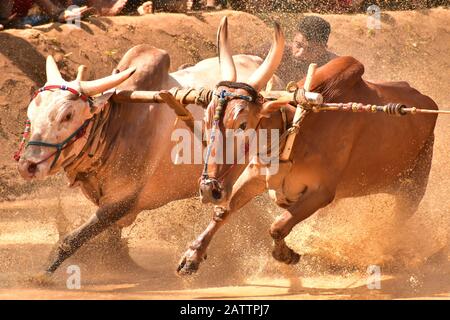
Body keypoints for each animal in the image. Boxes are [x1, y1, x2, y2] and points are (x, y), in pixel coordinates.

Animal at [177, 20, 440, 276]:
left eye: (242, 124)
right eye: (208, 119)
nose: (209, 189)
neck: (295, 130)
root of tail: (430, 104)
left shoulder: (321, 193)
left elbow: (278, 226)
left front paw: (286, 254)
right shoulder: (254, 175)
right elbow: (223, 211)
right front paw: (192, 256)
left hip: (413, 189)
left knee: (397, 222)